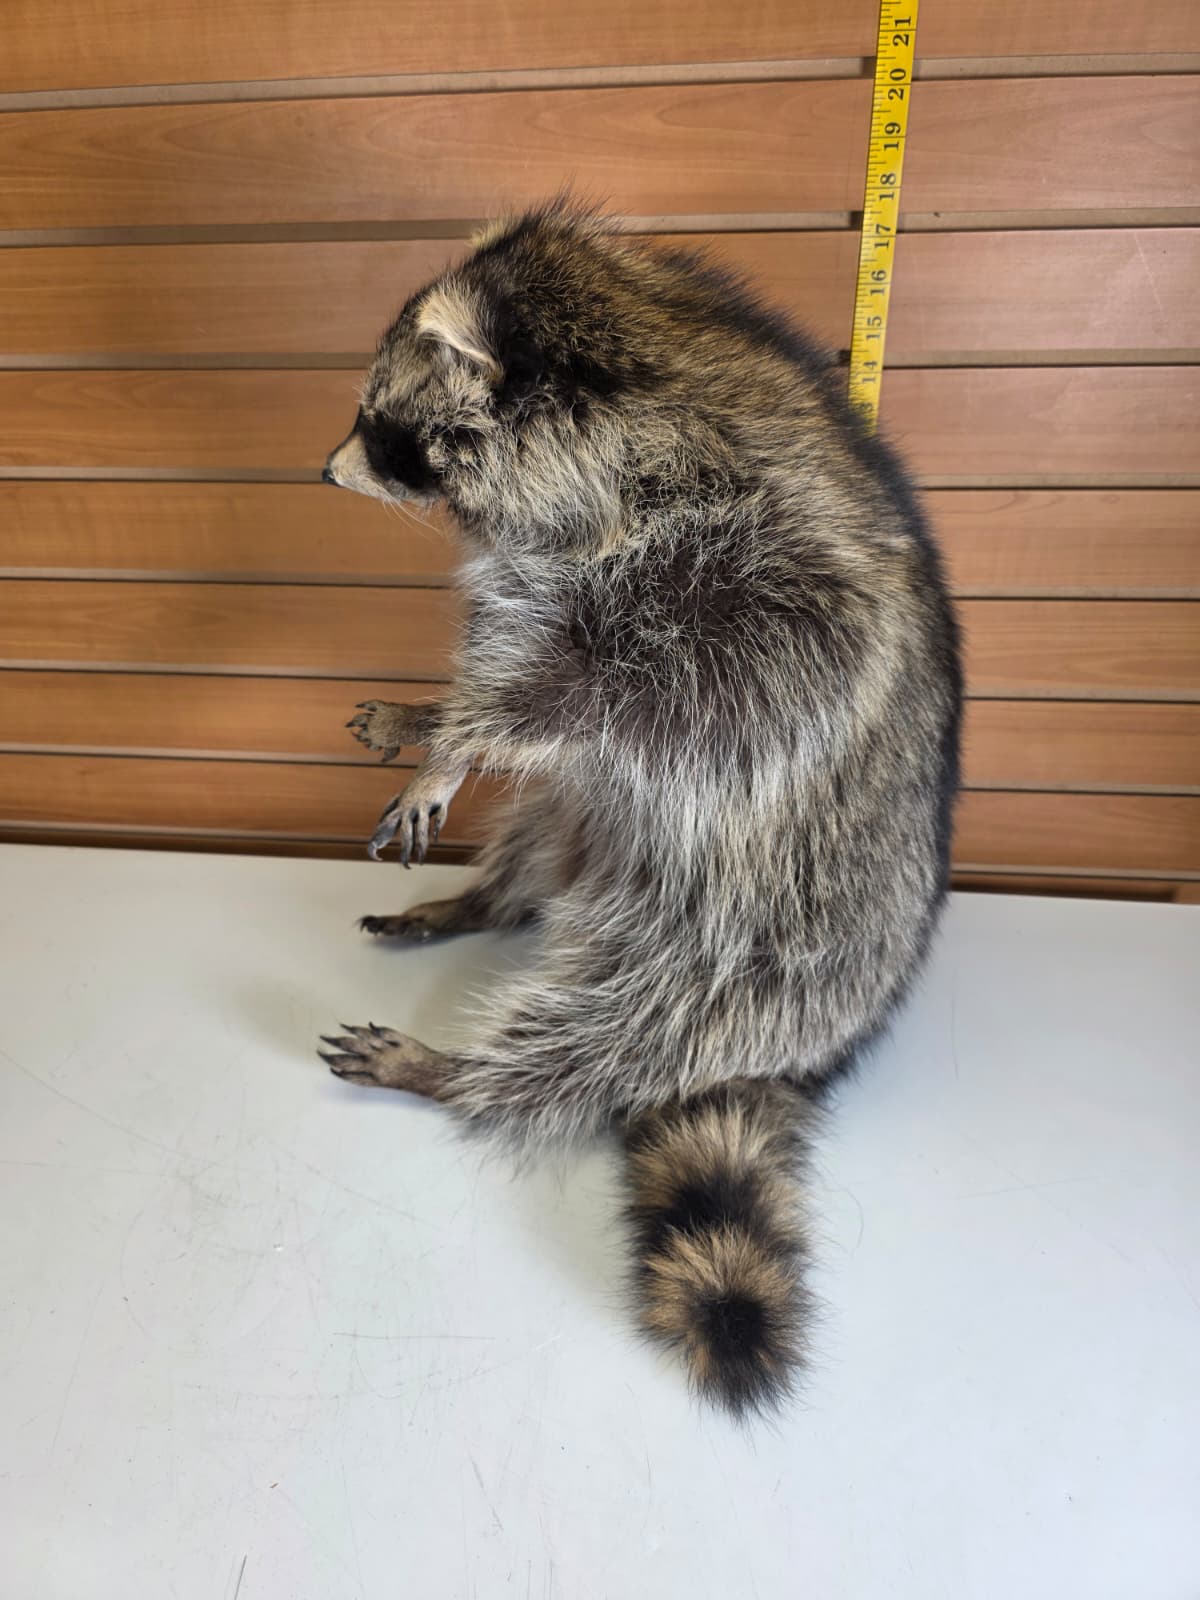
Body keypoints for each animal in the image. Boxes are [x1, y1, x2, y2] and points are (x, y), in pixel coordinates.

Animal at [318, 203, 962, 1416]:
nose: (323, 470)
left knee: (608, 1029)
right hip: (594, 834)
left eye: (383, 429)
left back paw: (464, 1073)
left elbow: (602, 695)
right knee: (551, 818)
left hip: (752, 953)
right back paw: (486, 899)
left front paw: (458, 733)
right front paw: (439, 731)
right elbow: (525, 671)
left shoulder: (757, 591)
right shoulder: (554, 569)